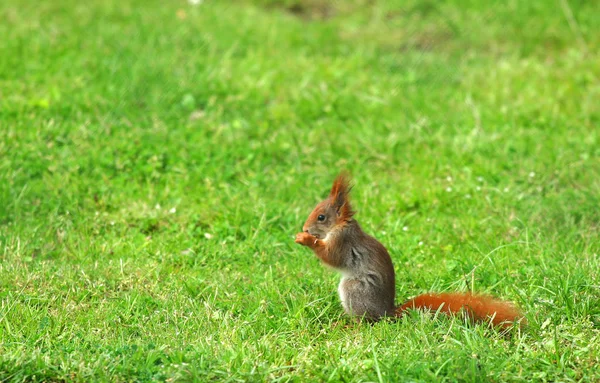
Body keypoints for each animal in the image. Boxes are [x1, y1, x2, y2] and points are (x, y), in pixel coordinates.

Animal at [296, 174, 524, 330]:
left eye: (321, 217)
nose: (305, 228)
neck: (341, 225)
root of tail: (387, 312)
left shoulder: (342, 241)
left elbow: (332, 257)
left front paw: (306, 240)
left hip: (354, 290)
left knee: (368, 321)